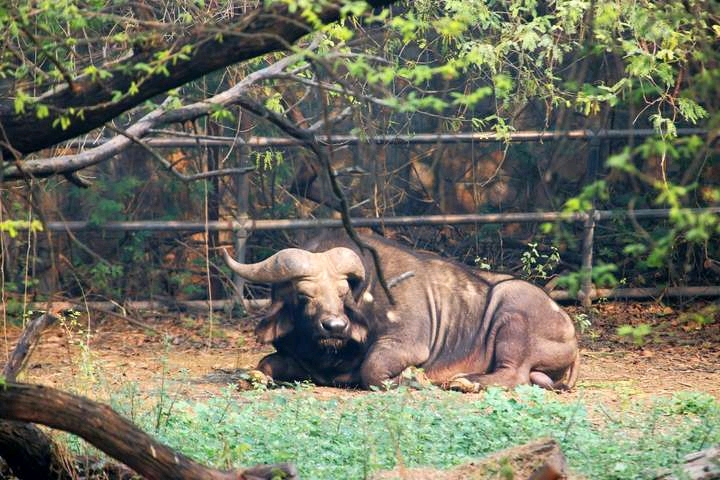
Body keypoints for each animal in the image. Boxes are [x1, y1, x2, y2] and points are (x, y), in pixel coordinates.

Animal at [225, 234, 580, 392]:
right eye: (304, 295)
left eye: (342, 292)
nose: (335, 326)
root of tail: (571, 336)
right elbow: (265, 363)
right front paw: (256, 377)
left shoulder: (406, 344)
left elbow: (373, 369)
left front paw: (412, 376)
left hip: (512, 307)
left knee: (513, 373)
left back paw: (464, 382)